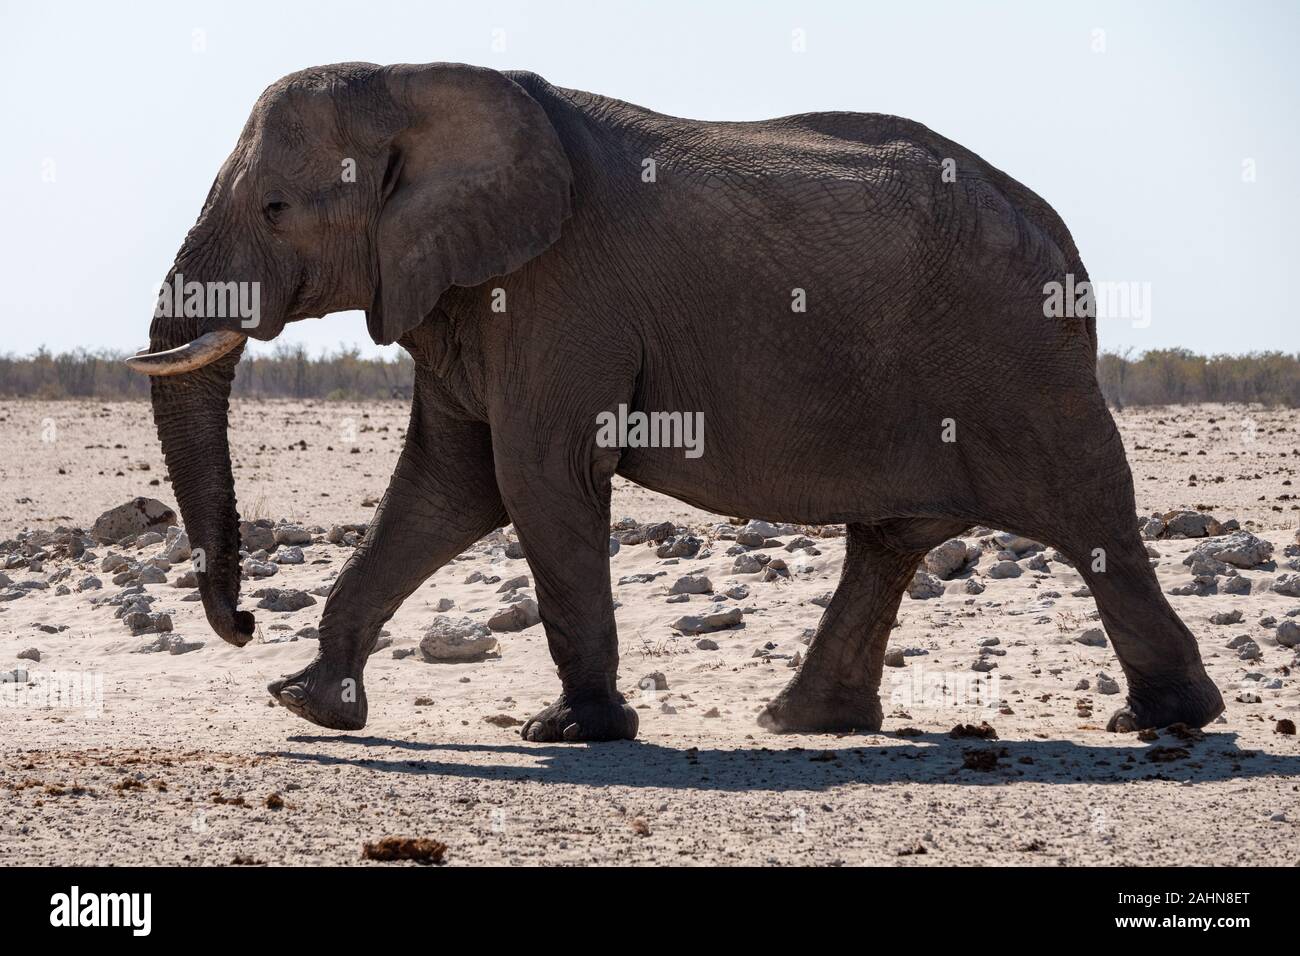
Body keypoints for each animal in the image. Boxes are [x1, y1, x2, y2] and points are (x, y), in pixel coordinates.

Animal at [126, 63, 1222, 743]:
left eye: (276, 208)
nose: (243, 623)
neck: (416, 80)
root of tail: (1056, 230)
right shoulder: (460, 292)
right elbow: (448, 486)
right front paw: (309, 705)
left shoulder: (559, 292)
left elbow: (535, 476)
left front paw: (573, 732)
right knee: (892, 538)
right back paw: (801, 721)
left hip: (1019, 362)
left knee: (1088, 518)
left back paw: (1168, 719)